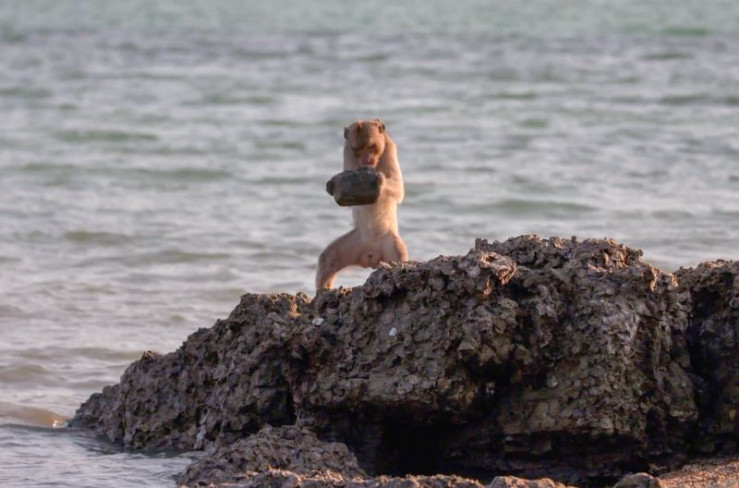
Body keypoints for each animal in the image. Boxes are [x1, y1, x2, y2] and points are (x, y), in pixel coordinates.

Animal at [315, 119, 408, 290]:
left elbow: (398, 189)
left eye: (371, 146)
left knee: (400, 260)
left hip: (389, 244)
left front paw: (378, 179)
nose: (367, 160)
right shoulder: (347, 151)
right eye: (357, 149)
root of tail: (371, 254)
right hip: (355, 243)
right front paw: (334, 185)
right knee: (327, 259)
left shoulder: (390, 149)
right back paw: (323, 291)